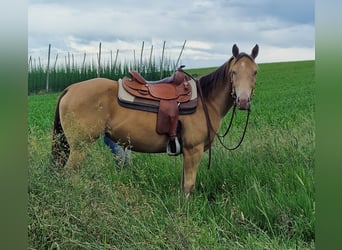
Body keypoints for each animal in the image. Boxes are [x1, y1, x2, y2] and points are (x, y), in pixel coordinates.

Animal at [51, 44, 260, 194]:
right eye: (233, 72)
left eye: (255, 72)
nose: (242, 101)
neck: (205, 100)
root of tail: (70, 88)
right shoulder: (194, 150)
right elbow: (188, 186)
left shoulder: (187, 153)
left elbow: (183, 184)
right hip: (79, 148)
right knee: (69, 175)